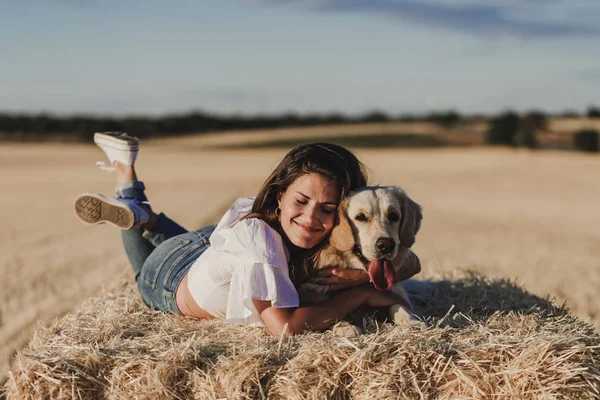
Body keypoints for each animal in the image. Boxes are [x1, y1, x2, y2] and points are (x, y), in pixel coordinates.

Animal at [298, 185, 422, 328]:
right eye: (361, 217)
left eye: (393, 216)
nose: (386, 245)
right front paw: (346, 327)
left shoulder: (395, 291)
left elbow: (399, 305)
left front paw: (411, 321)